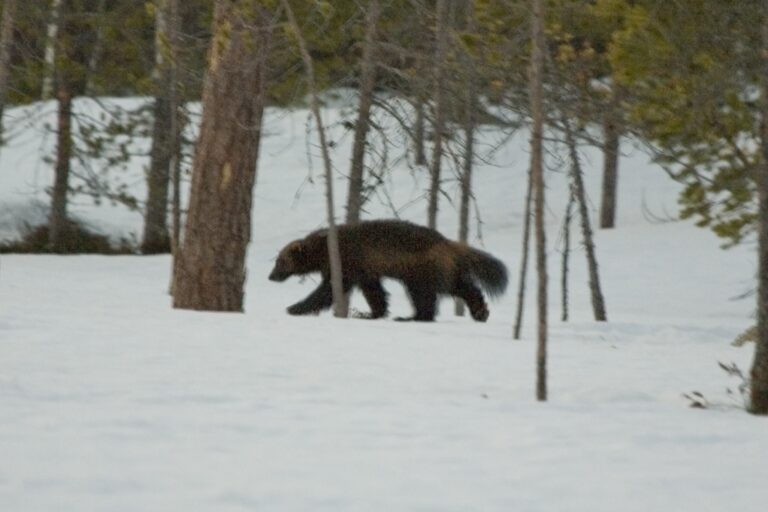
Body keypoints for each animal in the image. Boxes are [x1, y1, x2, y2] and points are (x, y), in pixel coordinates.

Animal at [268, 219, 508, 322]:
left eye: (280, 261)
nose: (270, 276)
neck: (324, 246)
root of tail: (447, 243)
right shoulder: (366, 272)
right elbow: (375, 293)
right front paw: (373, 313)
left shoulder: (346, 263)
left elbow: (327, 291)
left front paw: (295, 308)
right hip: (440, 270)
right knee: (463, 287)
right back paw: (480, 311)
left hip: (421, 272)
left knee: (427, 297)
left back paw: (414, 317)